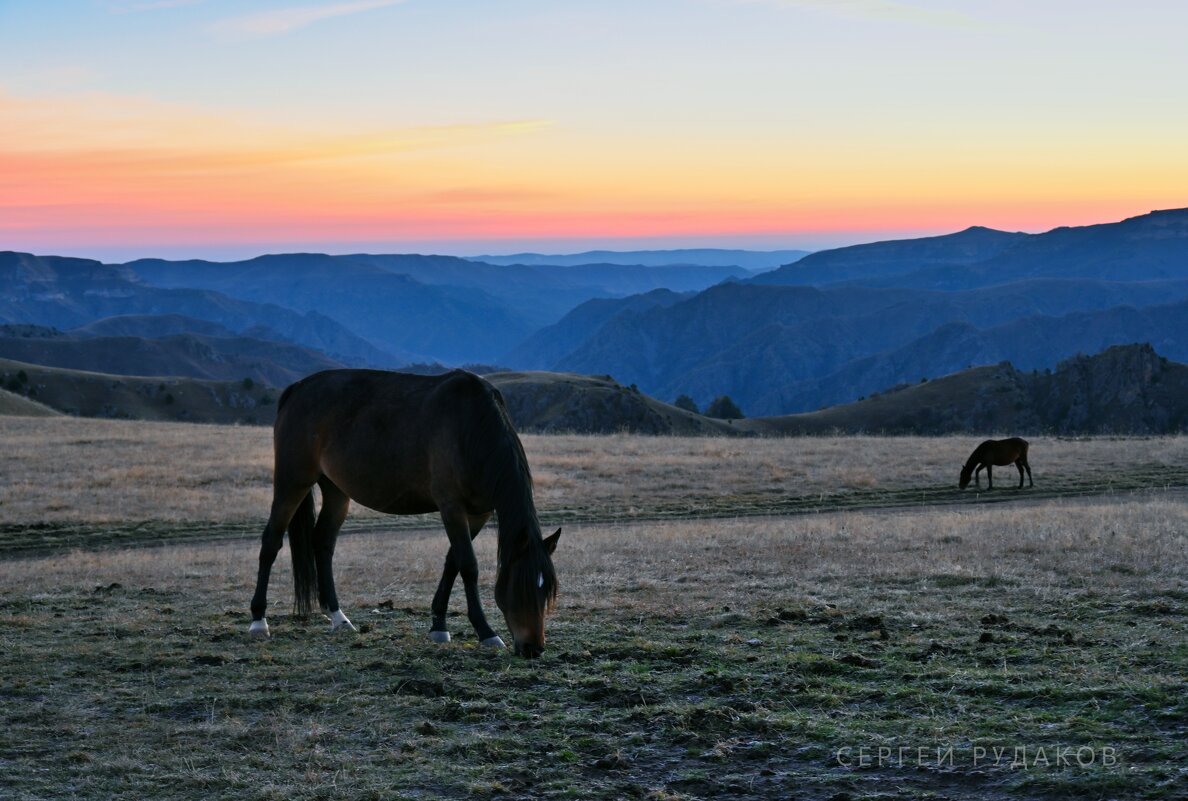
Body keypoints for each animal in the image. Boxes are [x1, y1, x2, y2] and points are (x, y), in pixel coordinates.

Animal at [247, 368, 560, 656]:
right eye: (521, 587)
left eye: (546, 590)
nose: (533, 648)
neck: (471, 429)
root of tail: (297, 389)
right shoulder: (451, 506)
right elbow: (468, 565)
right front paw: (486, 631)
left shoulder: (478, 513)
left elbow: (452, 562)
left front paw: (438, 625)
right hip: (293, 481)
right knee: (271, 541)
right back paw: (259, 621)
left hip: (335, 489)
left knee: (322, 542)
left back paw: (338, 617)